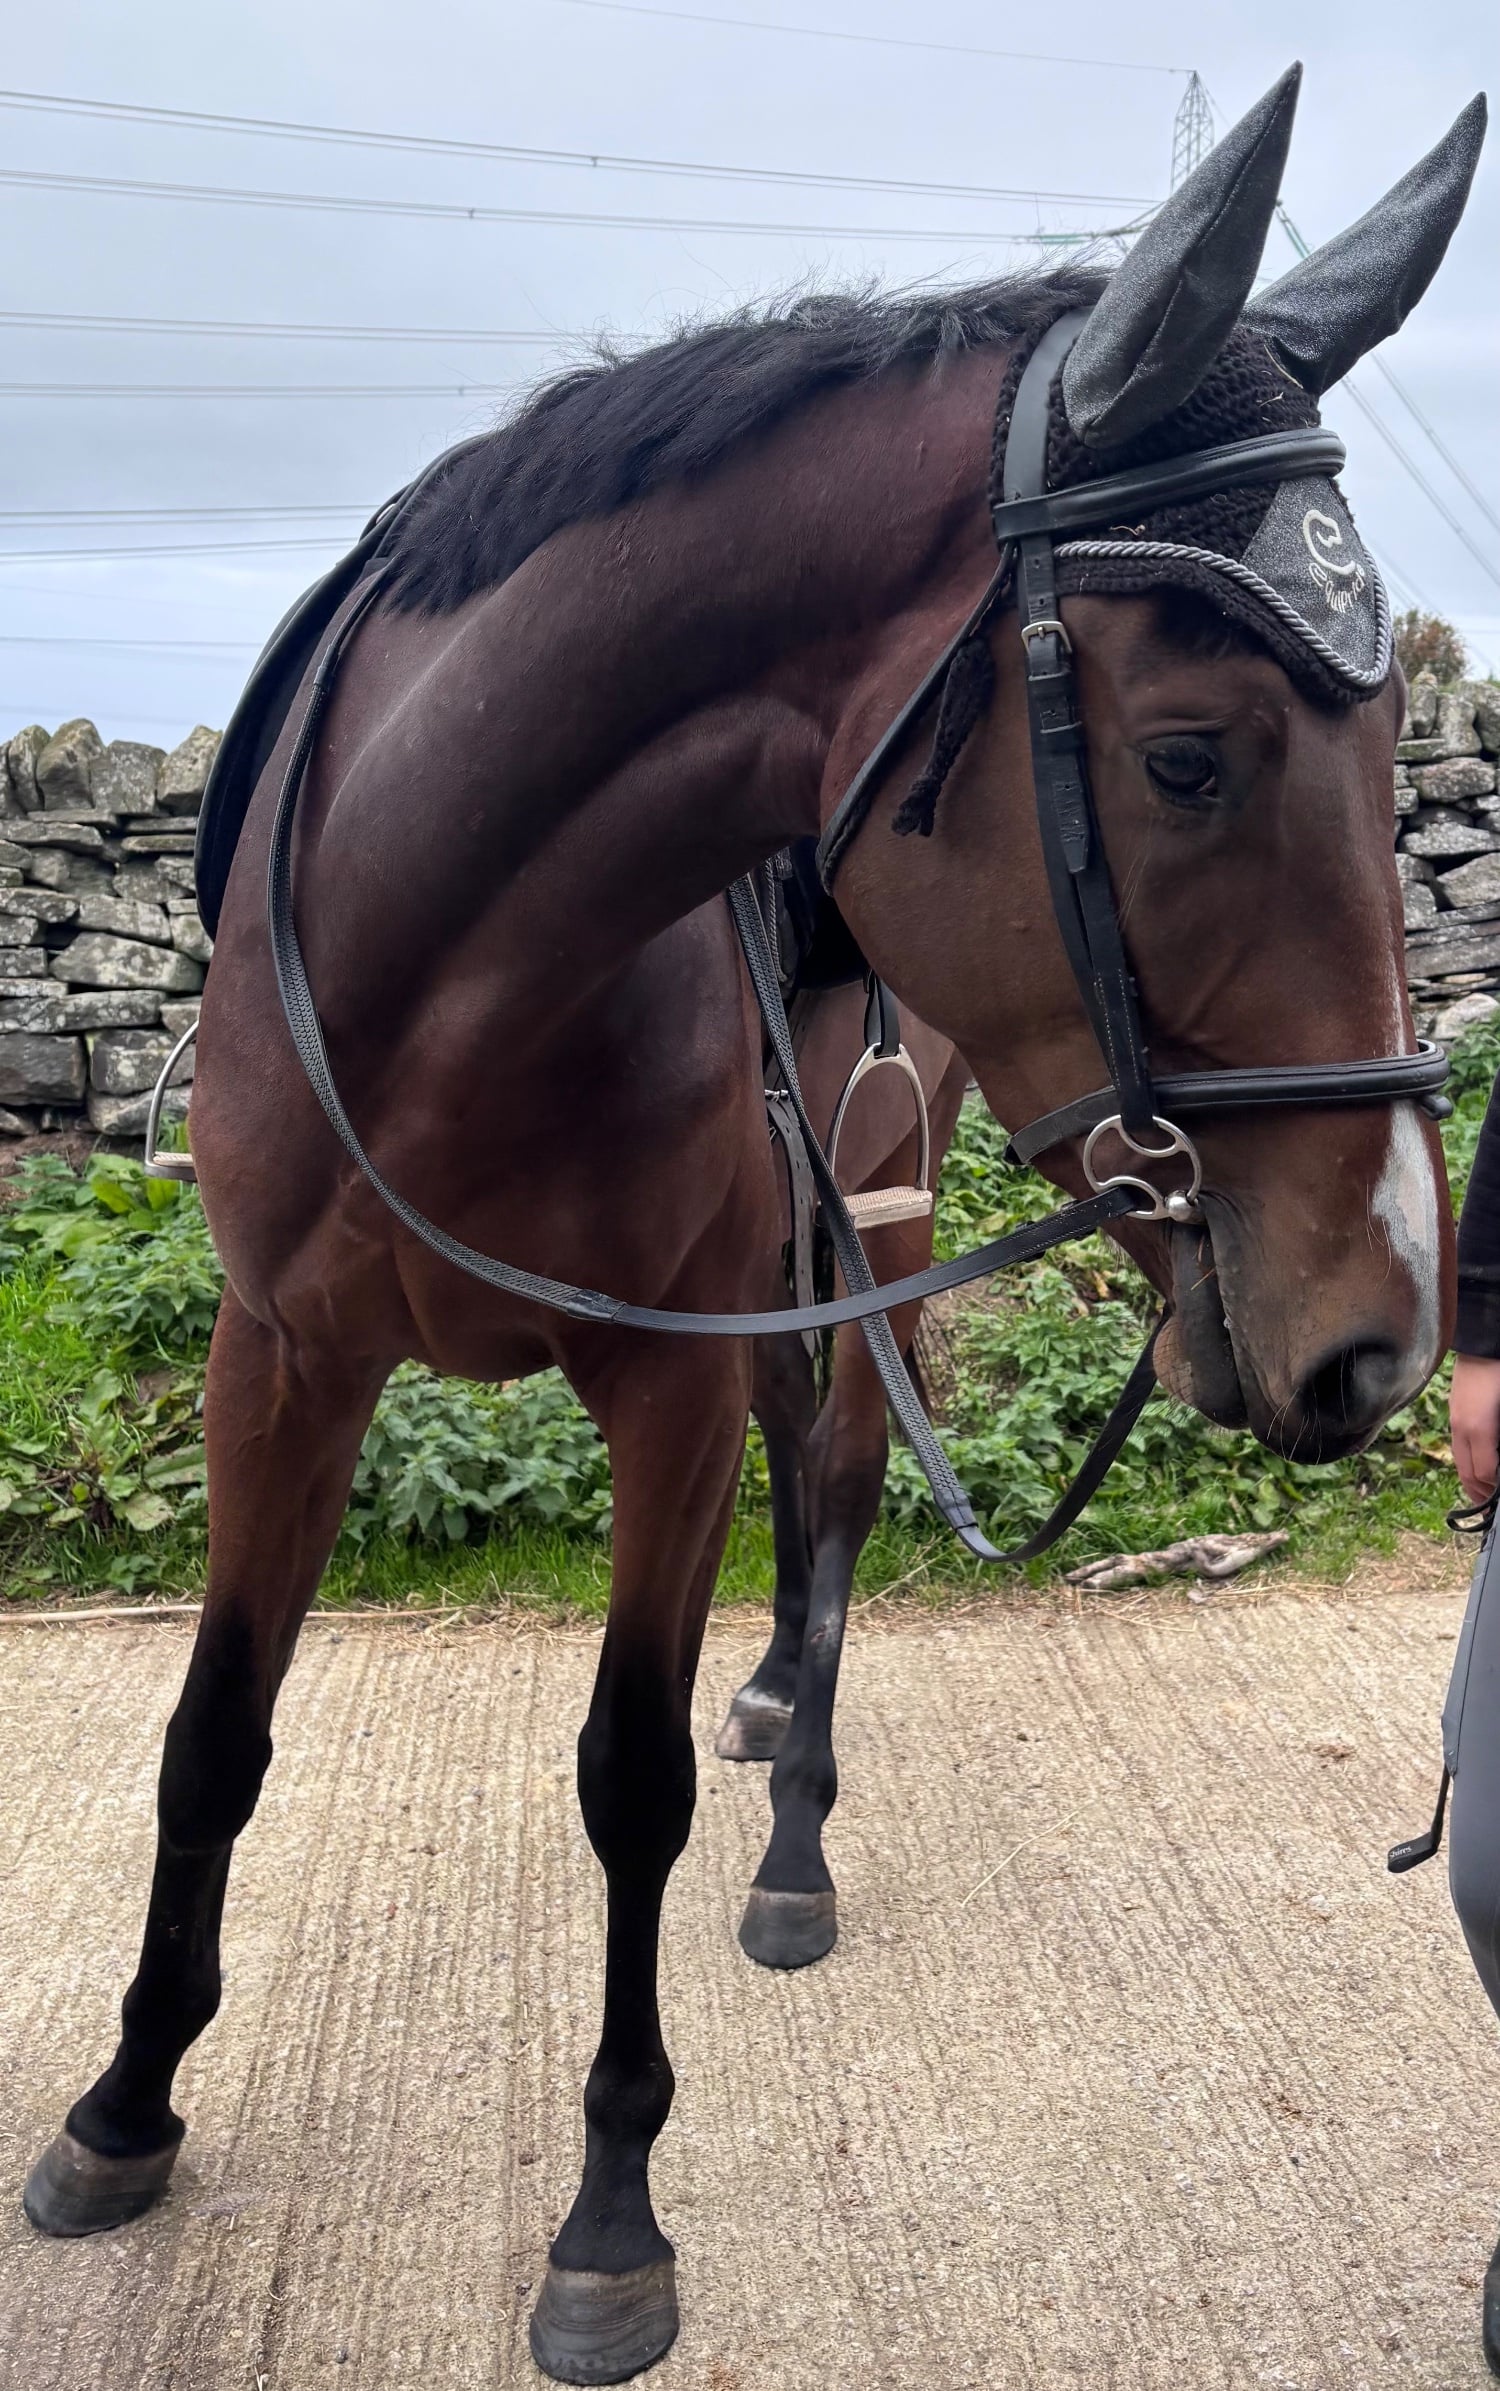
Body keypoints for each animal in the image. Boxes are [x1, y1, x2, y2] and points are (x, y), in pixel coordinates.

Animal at [21, 69, 1481, 2386]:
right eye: (1188, 757)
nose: (1393, 1326)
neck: (438, 958)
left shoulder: (665, 1383)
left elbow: (628, 1775)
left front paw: (611, 2214)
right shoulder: (284, 1358)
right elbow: (214, 1737)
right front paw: (126, 2097)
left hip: (879, 1209)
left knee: (849, 1484)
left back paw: (799, 1824)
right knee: (819, 1475)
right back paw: (784, 1702)